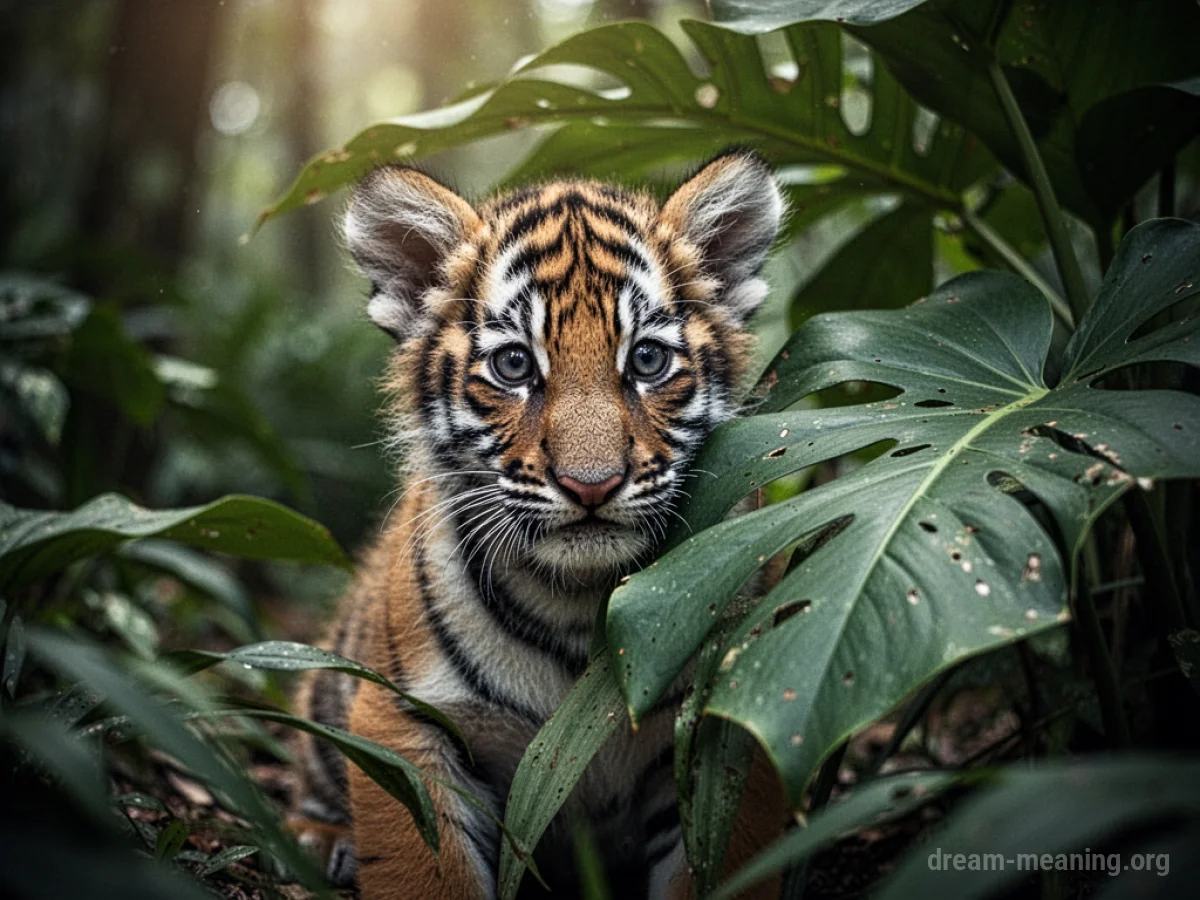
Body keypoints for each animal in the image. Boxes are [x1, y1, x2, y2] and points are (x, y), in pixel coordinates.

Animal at [291, 151, 789, 899]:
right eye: (514, 364)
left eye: (647, 360)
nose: (592, 484)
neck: (581, 605)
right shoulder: (405, 722)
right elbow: (429, 871)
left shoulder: (730, 721)